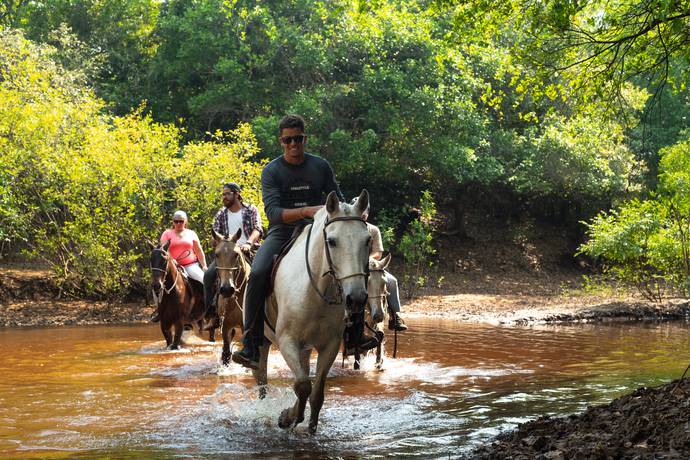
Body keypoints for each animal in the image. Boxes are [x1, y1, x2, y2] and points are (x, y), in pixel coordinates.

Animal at [256, 189, 370, 434]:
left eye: (368, 240)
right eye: (332, 241)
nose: (356, 298)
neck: (316, 290)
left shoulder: (329, 346)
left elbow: (315, 392)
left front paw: (307, 425)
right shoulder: (287, 341)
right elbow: (302, 385)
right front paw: (288, 418)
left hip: (305, 349)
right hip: (263, 341)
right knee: (260, 377)